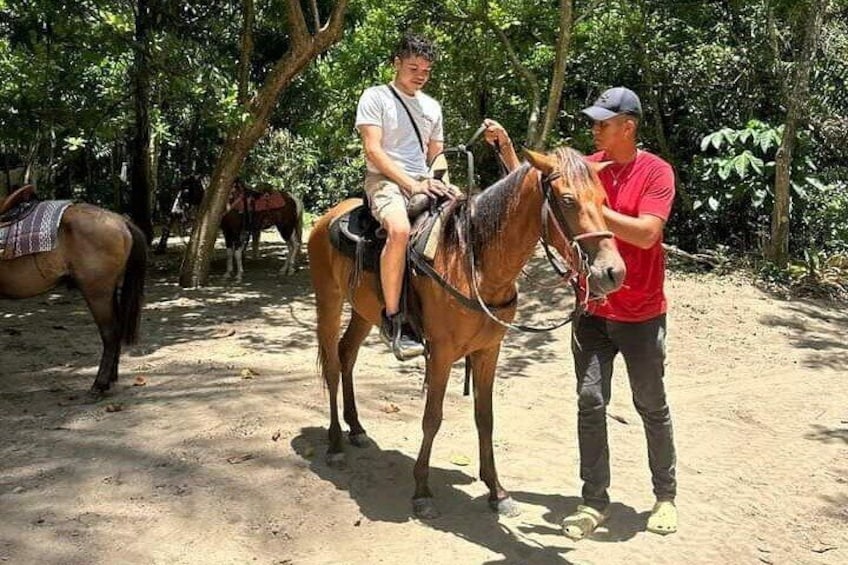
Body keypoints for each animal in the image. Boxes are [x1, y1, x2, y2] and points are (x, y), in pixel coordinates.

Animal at [0, 202, 147, 392]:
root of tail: (121, 221)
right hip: (110, 290)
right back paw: (111, 378)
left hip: (97, 292)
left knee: (110, 333)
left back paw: (100, 384)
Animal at [308, 148, 628, 516]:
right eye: (567, 200)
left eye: (603, 200)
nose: (613, 272)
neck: (473, 260)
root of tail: (330, 216)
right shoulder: (442, 353)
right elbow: (432, 418)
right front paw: (422, 491)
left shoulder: (488, 351)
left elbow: (485, 417)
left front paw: (497, 492)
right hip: (328, 302)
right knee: (332, 365)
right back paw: (335, 443)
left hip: (364, 311)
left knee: (347, 354)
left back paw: (357, 428)